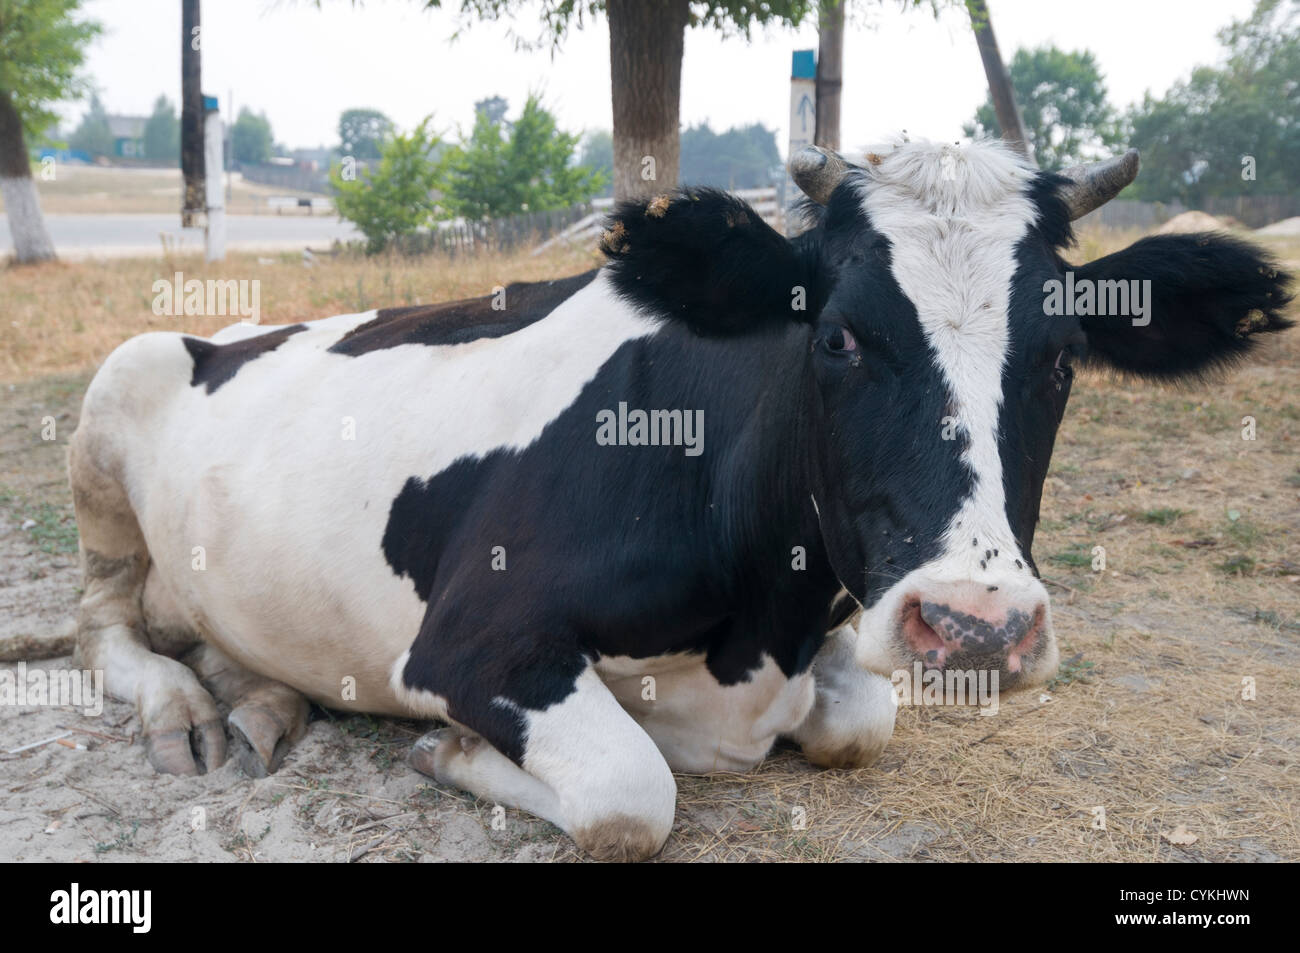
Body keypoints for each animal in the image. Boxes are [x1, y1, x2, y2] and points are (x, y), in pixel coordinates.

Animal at [71, 137, 1289, 858]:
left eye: (1065, 354)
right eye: (836, 334)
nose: (975, 625)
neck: (761, 623)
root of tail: (231, 324)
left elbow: (860, 723)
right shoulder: (471, 634)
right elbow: (631, 794)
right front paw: (454, 752)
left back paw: (263, 701)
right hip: (112, 393)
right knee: (105, 624)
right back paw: (184, 707)